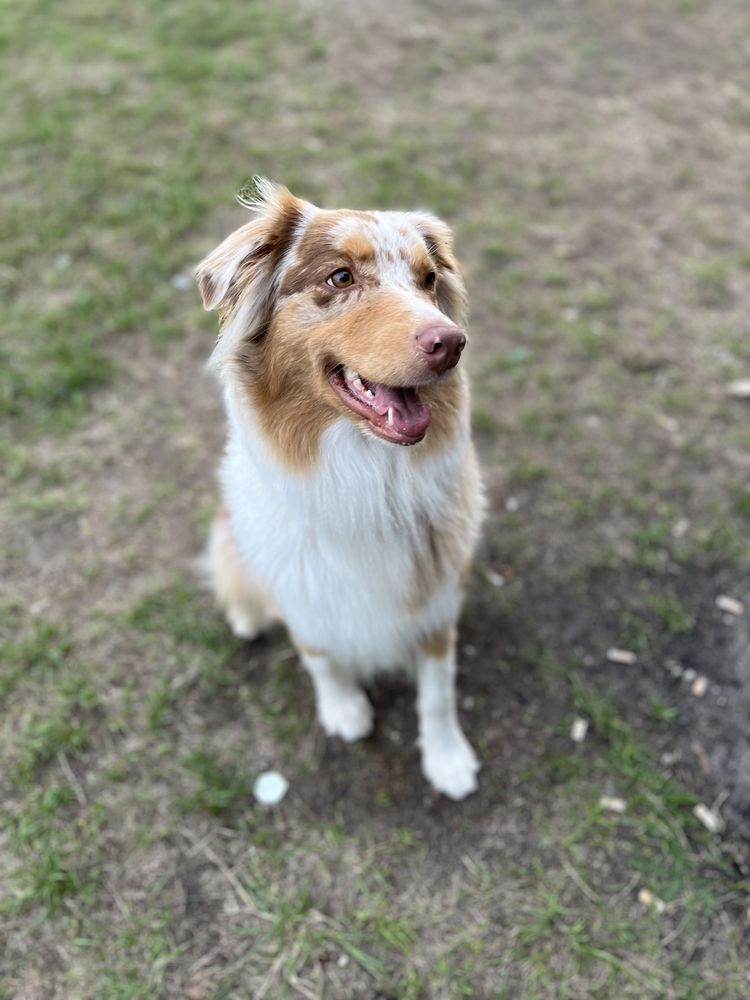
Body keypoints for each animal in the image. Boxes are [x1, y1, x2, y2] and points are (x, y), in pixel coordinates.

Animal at [197, 178, 484, 796]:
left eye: (428, 280)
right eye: (340, 277)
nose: (452, 343)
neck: (366, 479)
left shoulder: (436, 599)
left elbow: (438, 694)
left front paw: (447, 760)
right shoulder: (302, 592)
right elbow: (321, 657)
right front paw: (344, 709)